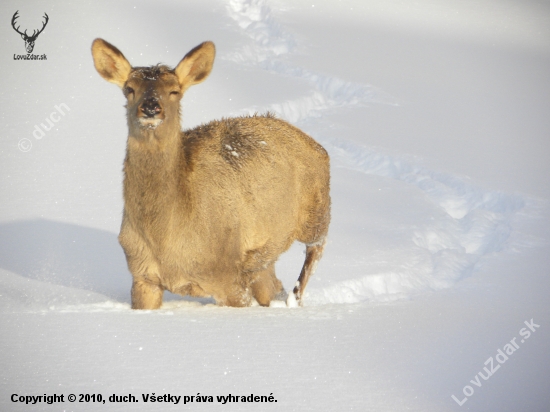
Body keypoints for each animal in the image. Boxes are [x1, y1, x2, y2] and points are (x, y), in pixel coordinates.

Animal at [92, 38, 330, 308]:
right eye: (130, 88)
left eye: (174, 91)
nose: (151, 107)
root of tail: (317, 146)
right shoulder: (141, 273)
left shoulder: (229, 276)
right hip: (263, 256)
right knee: (272, 285)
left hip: (317, 207)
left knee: (317, 246)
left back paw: (296, 297)